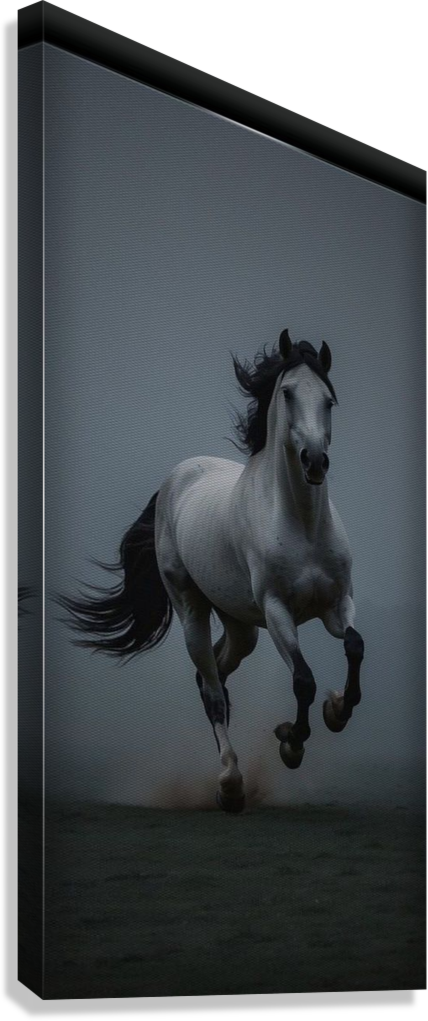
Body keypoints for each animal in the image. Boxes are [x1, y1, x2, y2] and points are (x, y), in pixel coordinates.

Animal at [63, 329, 364, 813]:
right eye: (287, 392)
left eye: (329, 400)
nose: (315, 461)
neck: (301, 524)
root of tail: (174, 481)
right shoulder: (278, 611)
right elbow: (302, 680)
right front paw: (291, 743)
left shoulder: (337, 603)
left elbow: (354, 646)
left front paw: (336, 710)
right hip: (192, 610)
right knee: (211, 690)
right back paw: (230, 784)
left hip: (240, 625)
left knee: (218, 674)